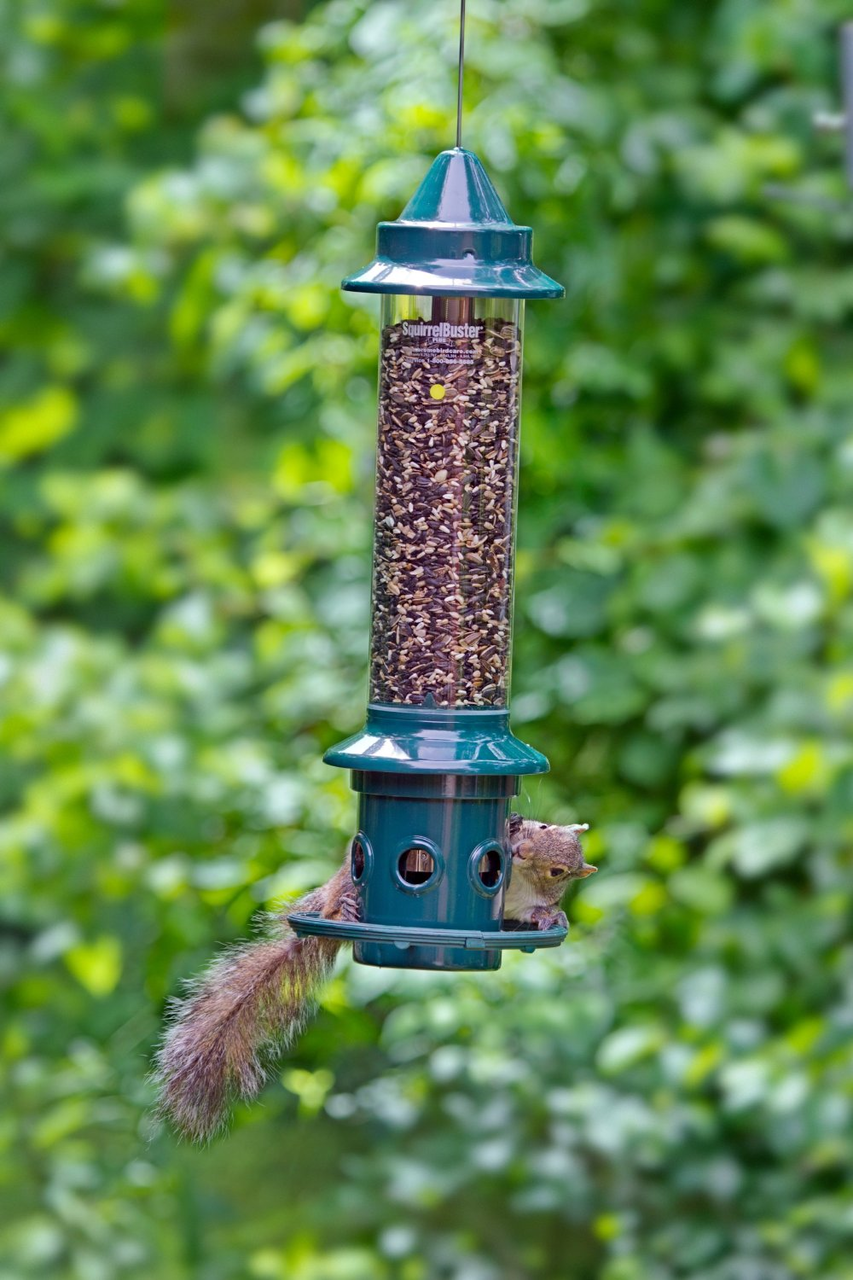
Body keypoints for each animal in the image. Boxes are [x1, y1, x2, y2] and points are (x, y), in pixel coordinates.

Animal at [154, 814, 596, 1142]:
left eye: (558, 871)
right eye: (544, 828)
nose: (521, 851)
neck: (519, 879)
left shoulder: (521, 909)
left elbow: (535, 914)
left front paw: (552, 918)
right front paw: (512, 822)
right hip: (345, 881)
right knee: (332, 906)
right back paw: (344, 911)